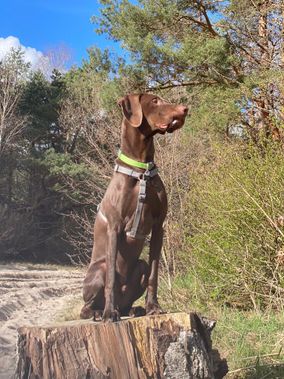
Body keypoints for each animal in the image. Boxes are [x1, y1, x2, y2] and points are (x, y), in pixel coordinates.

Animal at [80, 93, 187, 322]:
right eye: (154, 100)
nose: (185, 109)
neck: (141, 169)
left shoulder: (158, 226)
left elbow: (154, 273)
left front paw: (153, 307)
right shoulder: (114, 226)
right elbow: (111, 279)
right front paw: (109, 314)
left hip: (140, 265)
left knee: (132, 291)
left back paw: (132, 309)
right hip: (99, 269)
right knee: (86, 306)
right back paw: (100, 311)